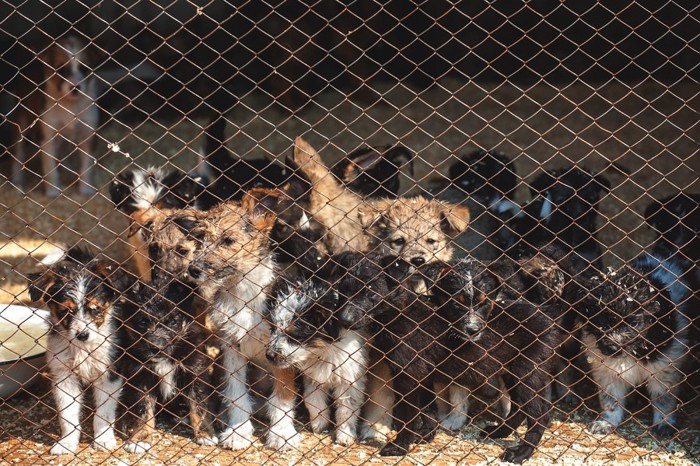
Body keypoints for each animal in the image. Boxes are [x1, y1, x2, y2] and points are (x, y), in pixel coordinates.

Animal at [27, 248, 135, 456]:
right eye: (66, 312)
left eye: (96, 309)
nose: (82, 335)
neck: (83, 349)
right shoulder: (63, 375)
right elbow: (67, 415)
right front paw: (67, 443)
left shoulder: (109, 373)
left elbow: (104, 413)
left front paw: (103, 439)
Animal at [185, 198, 300, 450]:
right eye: (200, 238)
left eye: (228, 240)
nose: (193, 270)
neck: (243, 292)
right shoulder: (231, 346)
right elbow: (236, 394)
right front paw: (238, 431)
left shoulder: (281, 348)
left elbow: (283, 394)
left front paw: (282, 433)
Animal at [266, 278, 370, 446]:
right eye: (273, 329)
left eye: (295, 335)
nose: (268, 356)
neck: (322, 351)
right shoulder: (312, 377)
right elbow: (313, 400)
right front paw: (319, 423)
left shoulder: (350, 379)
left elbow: (346, 408)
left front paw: (345, 434)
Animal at [576, 251, 692, 436]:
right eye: (602, 320)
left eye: (634, 322)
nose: (612, 348)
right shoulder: (606, 370)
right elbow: (610, 400)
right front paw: (606, 422)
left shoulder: (664, 368)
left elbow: (664, 399)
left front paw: (665, 423)